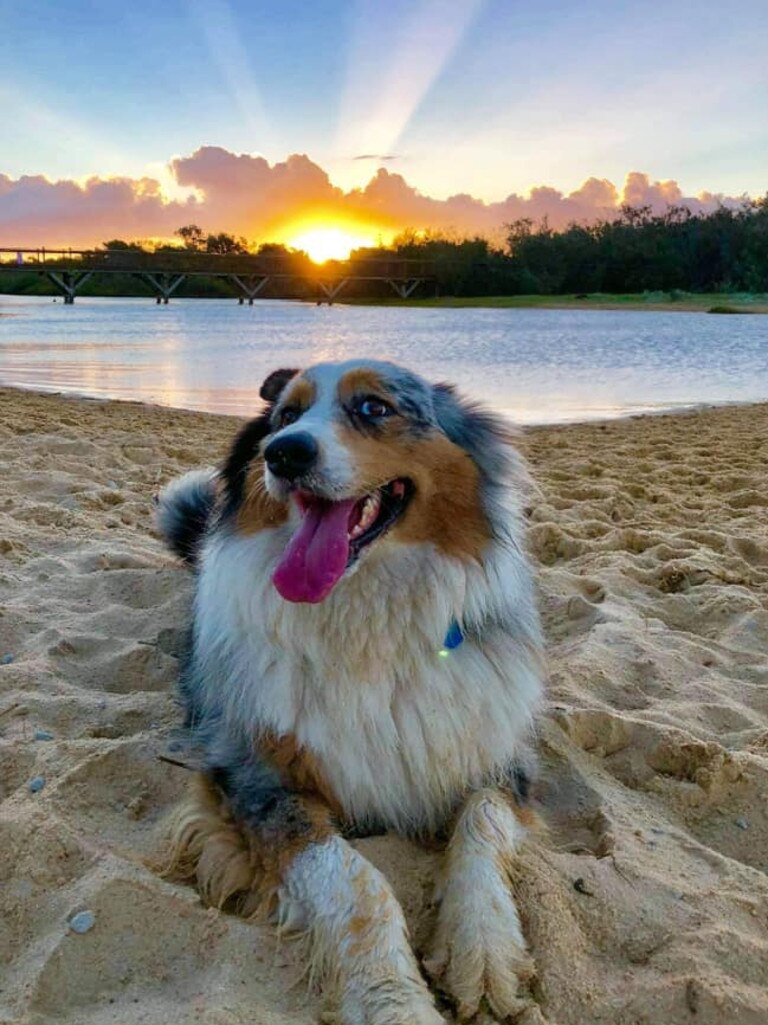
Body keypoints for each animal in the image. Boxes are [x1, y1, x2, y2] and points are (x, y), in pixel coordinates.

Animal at [155, 360, 541, 1025]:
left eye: (374, 408)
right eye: (286, 415)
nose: (283, 453)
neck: (367, 623)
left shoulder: (497, 754)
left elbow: (482, 830)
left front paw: (484, 953)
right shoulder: (257, 779)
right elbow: (358, 883)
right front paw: (396, 1003)